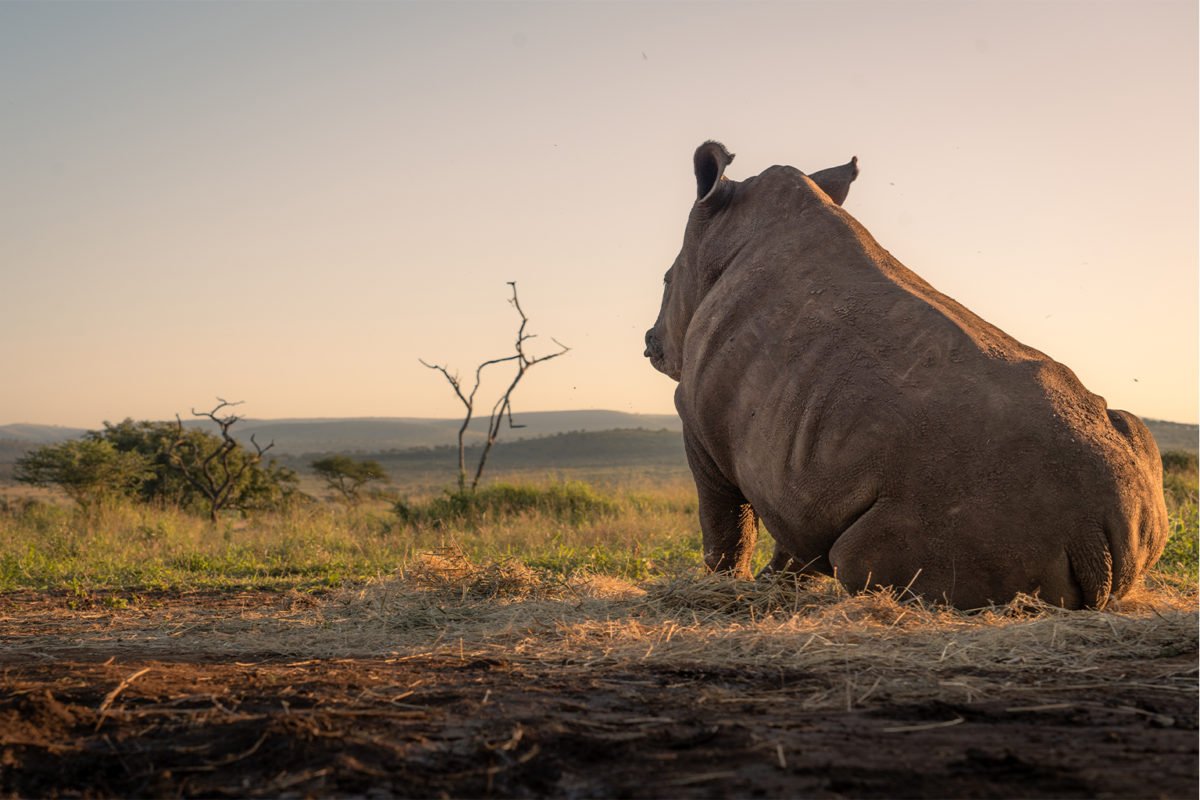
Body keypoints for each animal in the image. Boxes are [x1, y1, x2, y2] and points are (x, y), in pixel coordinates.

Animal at [652, 140, 1166, 609]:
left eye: (664, 281)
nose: (650, 342)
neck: (724, 237)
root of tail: (1104, 537)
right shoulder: (797, 477)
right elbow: (793, 537)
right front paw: (770, 588)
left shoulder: (698, 420)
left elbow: (726, 522)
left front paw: (727, 587)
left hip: (979, 502)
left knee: (855, 559)